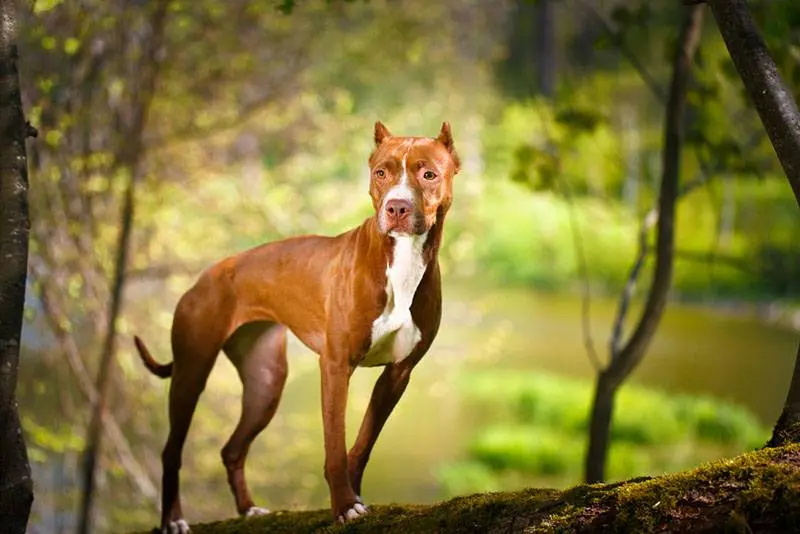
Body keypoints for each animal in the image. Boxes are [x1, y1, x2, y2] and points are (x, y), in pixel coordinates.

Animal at [134, 122, 460, 534]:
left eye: (428, 174)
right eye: (381, 173)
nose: (397, 207)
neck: (399, 261)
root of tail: (205, 276)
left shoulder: (397, 374)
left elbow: (363, 442)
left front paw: (353, 497)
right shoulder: (336, 366)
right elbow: (335, 443)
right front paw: (344, 506)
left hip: (266, 383)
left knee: (233, 448)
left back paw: (248, 510)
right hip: (192, 373)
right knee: (171, 450)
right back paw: (173, 519)